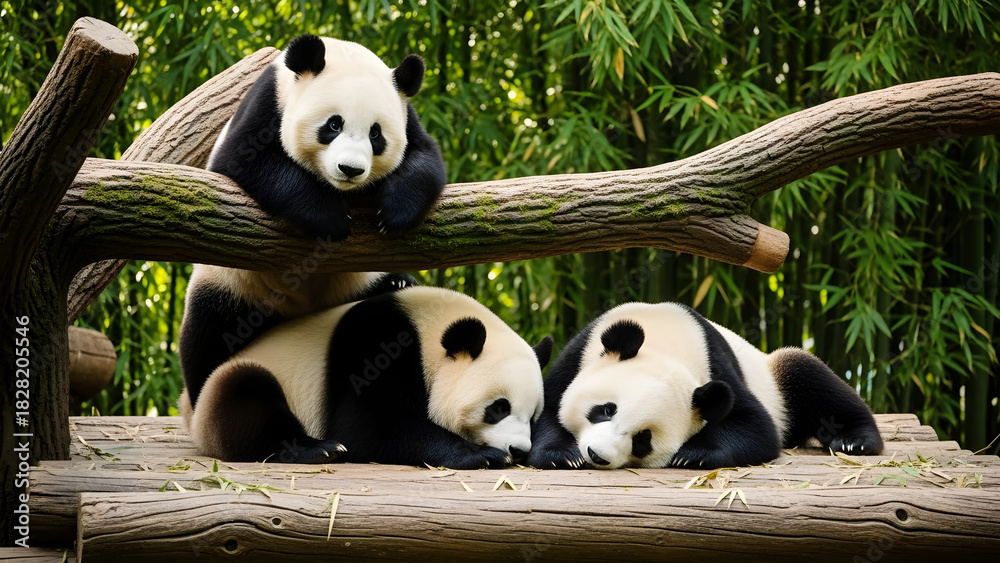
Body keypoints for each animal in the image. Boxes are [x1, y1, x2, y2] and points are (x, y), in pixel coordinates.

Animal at [180, 34, 447, 410]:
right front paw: (331, 219)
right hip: (231, 286)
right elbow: (246, 160)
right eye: (333, 125)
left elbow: (426, 158)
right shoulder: (267, 103)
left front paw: (394, 212)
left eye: (376, 135)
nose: (350, 169)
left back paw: (397, 283)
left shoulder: (408, 118)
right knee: (209, 334)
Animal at [181, 286, 554, 469]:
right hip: (235, 385)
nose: (518, 449)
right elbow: (366, 427)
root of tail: (189, 408)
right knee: (246, 394)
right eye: (498, 408)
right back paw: (318, 450)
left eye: (533, 416)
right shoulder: (379, 347)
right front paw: (482, 455)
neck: (427, 329)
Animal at [527, 302, 884, 469]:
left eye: (643, 440)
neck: (664, 342)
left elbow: (756, 427)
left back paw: (856, 441)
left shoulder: (718, 368)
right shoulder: (579, 353)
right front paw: (563, 456)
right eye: (604, 410)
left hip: (774, 375)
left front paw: (693, 455)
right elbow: (549, 406)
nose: (596, 455)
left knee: (808, 376)